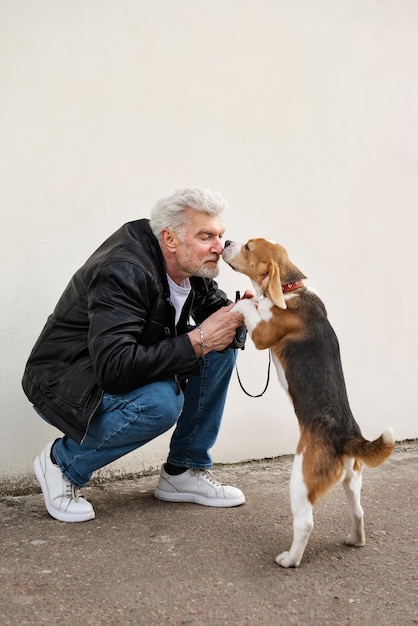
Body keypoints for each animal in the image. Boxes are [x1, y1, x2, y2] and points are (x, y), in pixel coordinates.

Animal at [222, 238, 396, 564]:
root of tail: (347, 437)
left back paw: (289, 559)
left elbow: (249, 305)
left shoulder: (262, 333)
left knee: (305, 522)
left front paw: (243, 302)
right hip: (353, 480)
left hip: (300, 481)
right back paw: (355, 539)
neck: (291, 287)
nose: (225, 241)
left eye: (248, 247)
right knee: (359, 511)